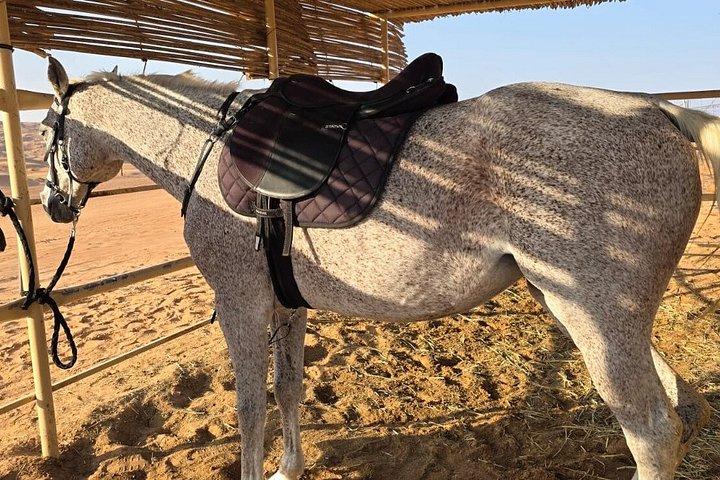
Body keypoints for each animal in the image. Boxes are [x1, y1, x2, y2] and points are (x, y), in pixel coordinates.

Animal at [38, 57, 720, 480]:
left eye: (46, 129)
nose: (51, 204)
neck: (206, 148)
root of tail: (660, 111)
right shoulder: (285, 305)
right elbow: (289, 387)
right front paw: (290, 468)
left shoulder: (241, 306)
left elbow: (249, 408)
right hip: (616, 319)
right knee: (678, 410)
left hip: (595, 316)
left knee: (652, 430)